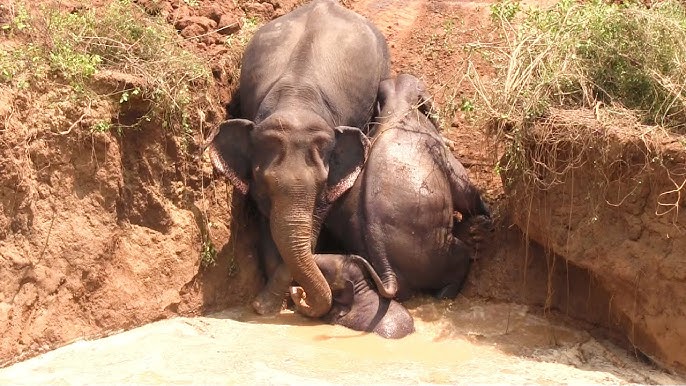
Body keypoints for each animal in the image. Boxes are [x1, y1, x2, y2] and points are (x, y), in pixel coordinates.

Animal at [204, 0, 390, 318]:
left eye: (322, 183)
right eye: (264, 185)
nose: (298, 295)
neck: (297, 103)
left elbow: (314, 222)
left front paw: (273, 303)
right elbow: (268, 225)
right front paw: (270, 306)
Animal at [324, 72, 494, 302]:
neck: (397, 107)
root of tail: (386, 272)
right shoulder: (437, 149)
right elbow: (464, 190)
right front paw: (489, 216)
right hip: (436, 251)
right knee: (459, 257)